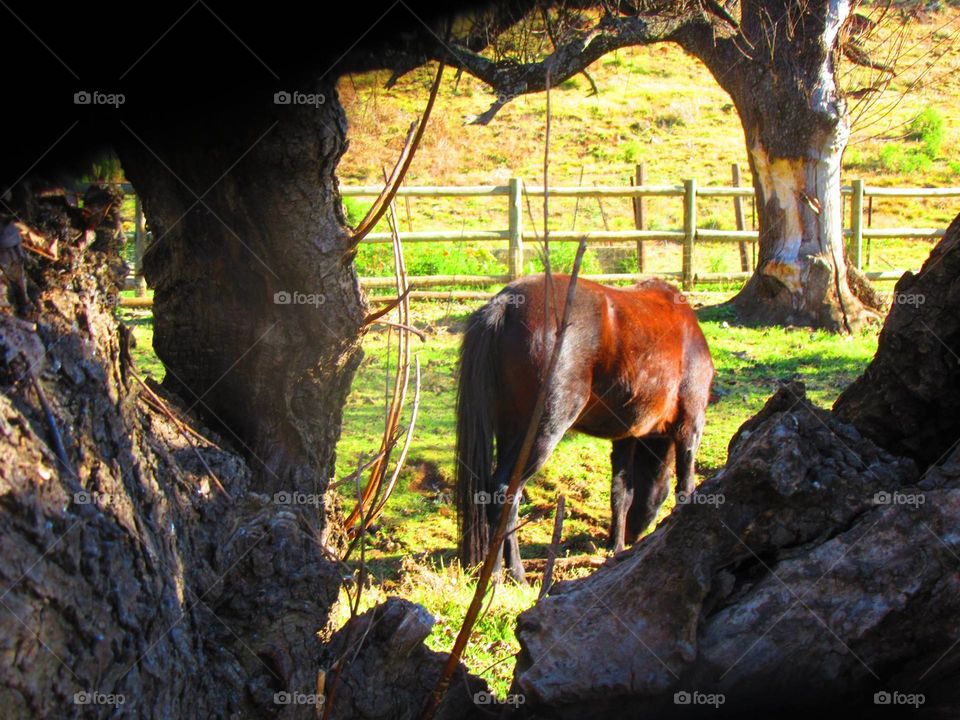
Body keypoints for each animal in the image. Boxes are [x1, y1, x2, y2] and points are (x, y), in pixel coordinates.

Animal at [455, 273, 714, 583]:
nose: (634, 535)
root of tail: (505, 303)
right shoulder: (690, 424)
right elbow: (685, 484)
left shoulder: (626, 436)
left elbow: (621, 493)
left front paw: (616, 546)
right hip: (544, 429)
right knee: (506, 491)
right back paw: (506, 575)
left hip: (510, 430)